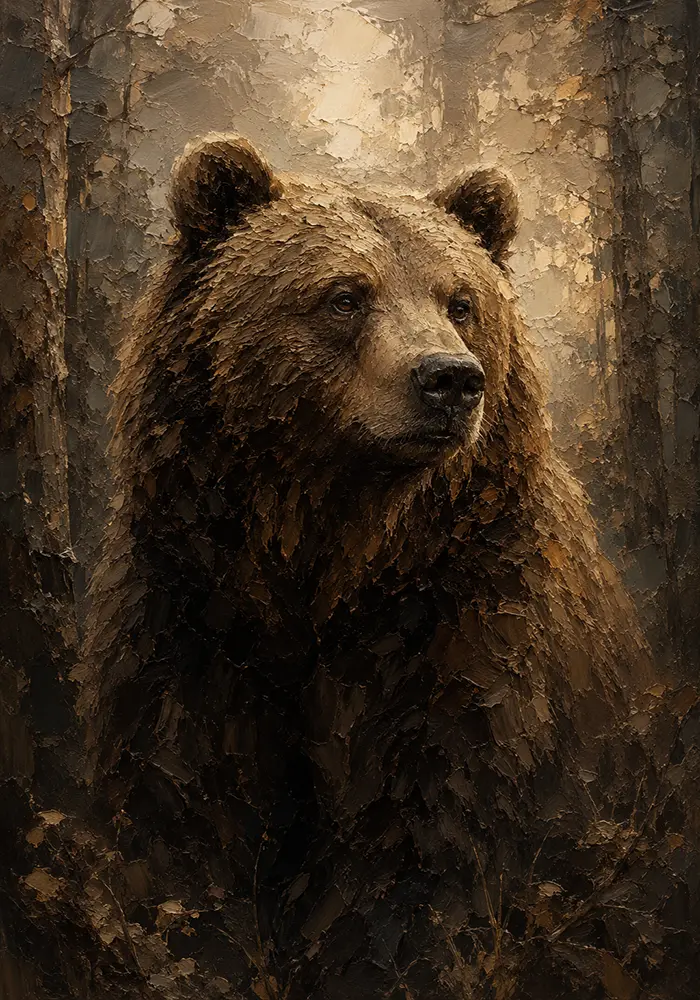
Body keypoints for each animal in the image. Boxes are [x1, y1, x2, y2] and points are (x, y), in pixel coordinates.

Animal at [79, 133, 686, 1000]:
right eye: (344, 296)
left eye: (460, 301)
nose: (450, 379)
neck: (332, 556)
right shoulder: (192, 612)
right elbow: (180, 801)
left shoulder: (465, 628)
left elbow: (428, 839)